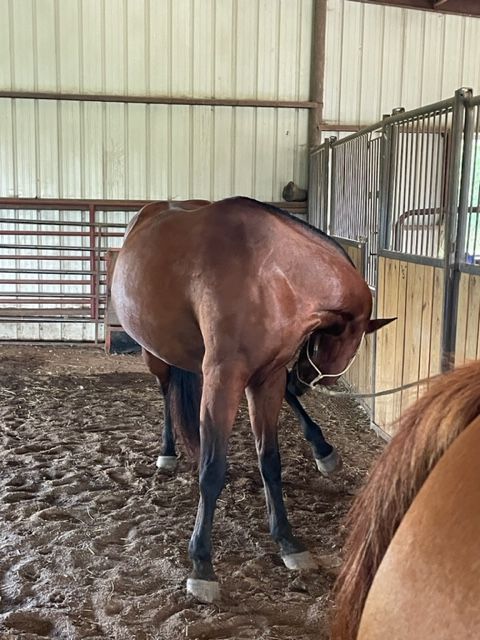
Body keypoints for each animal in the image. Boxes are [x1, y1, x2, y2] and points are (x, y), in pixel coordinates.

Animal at [112, 196, 393, 603]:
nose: (305, 378)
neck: (273, 274)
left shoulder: (268, 378)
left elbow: (270, 461)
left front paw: (288, 542)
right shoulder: (226, 379)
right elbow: (212, 469)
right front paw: (201, 564)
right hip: (157, 356)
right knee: (166, 394)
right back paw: (167, 452)